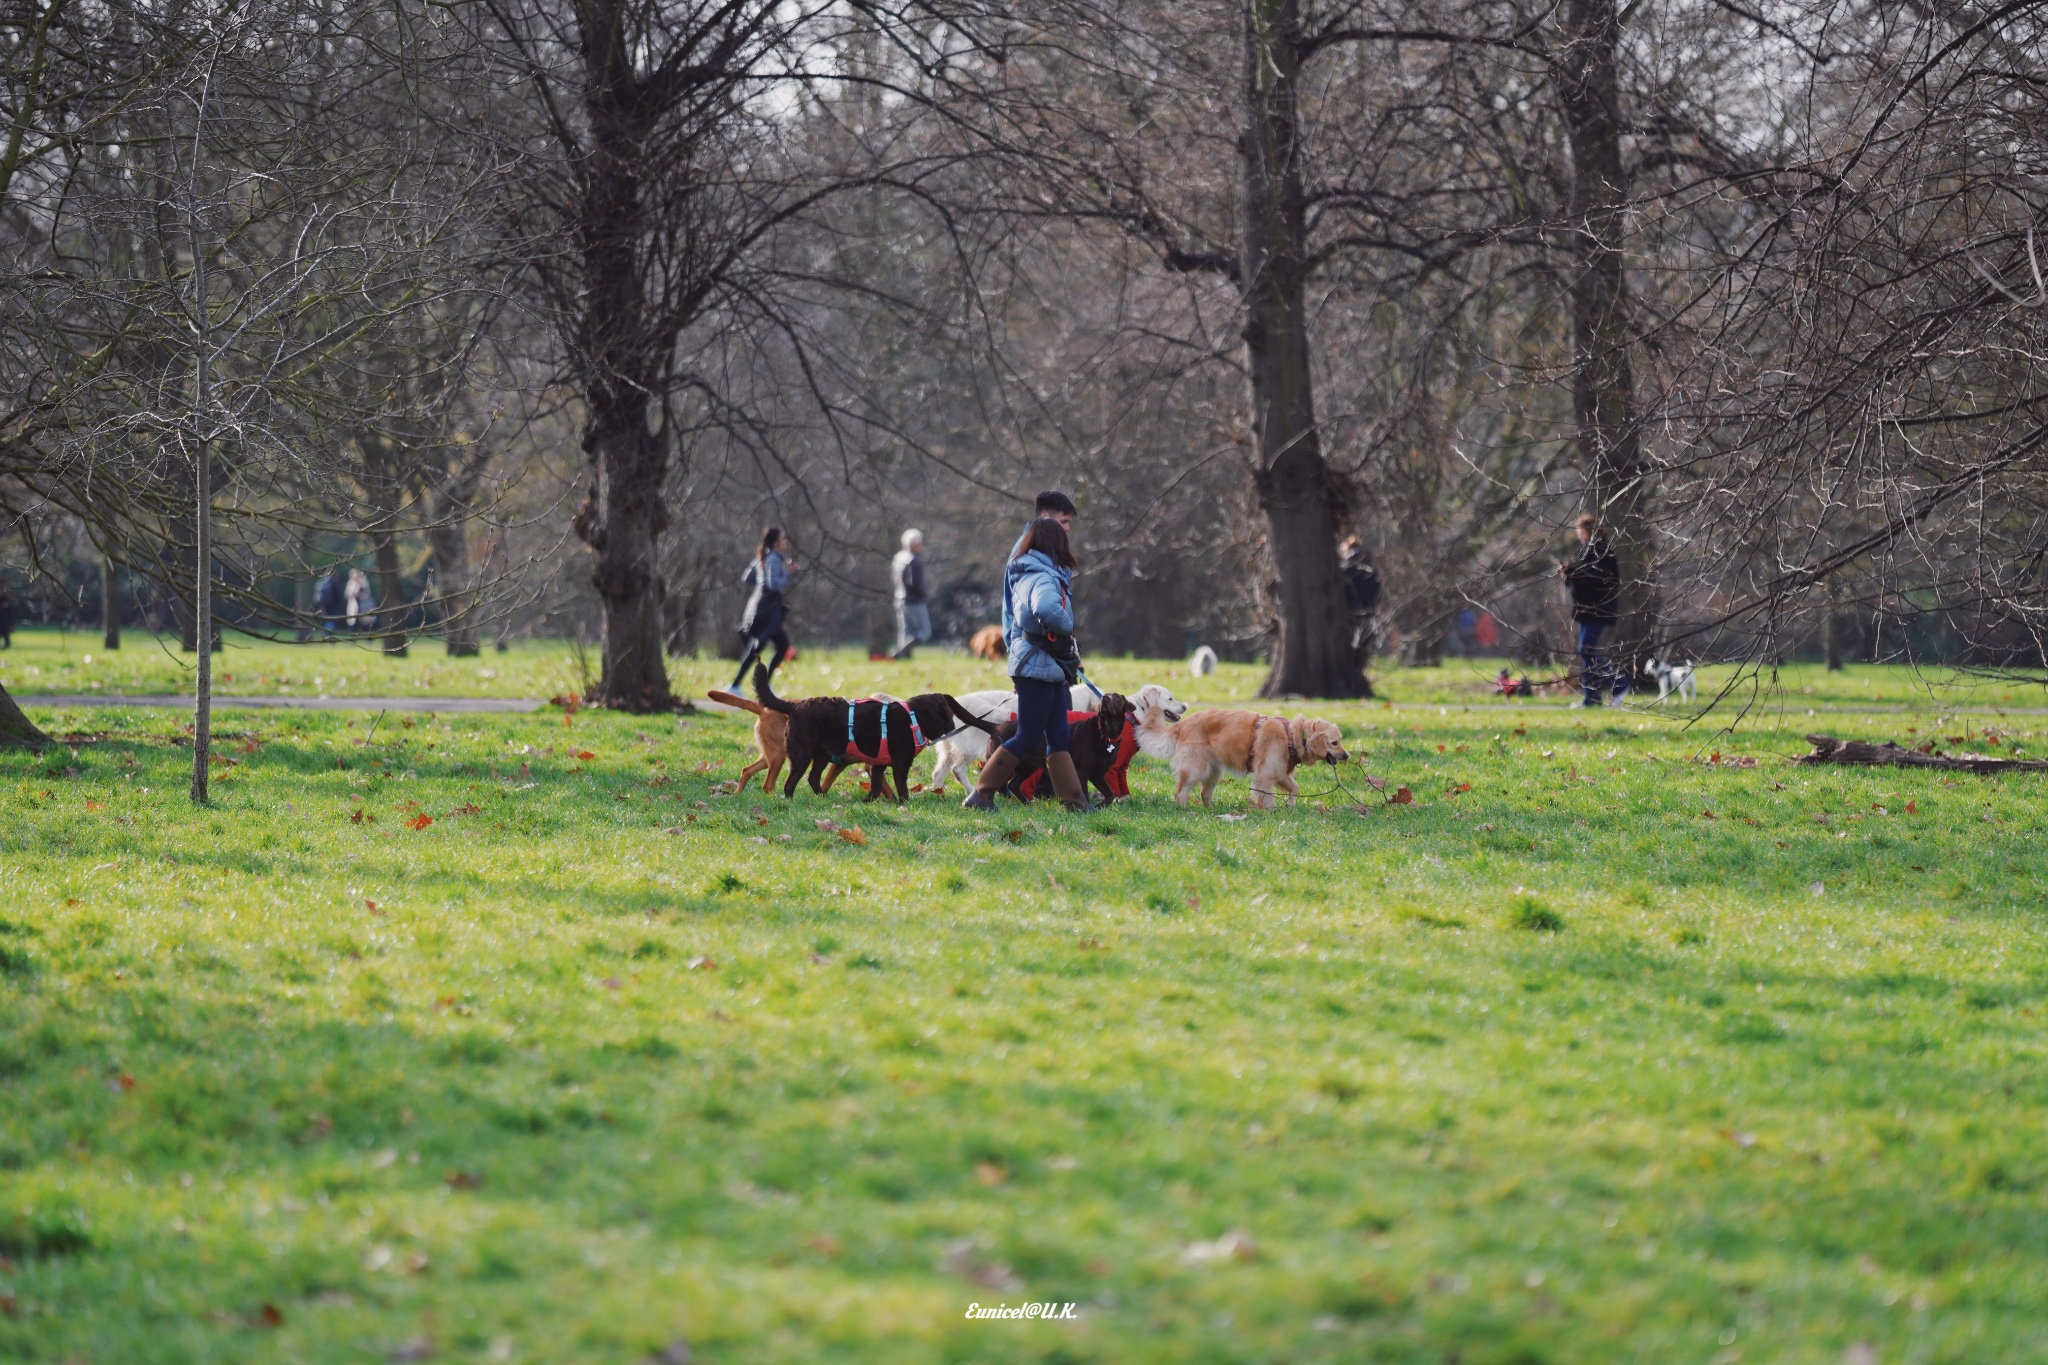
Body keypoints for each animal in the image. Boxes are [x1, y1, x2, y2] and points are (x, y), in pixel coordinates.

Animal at [757, 667, 1003, 806]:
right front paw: (904, 803)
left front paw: (868, 802)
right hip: (802, 754)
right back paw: (790, 801)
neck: (912, 716)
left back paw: (822, 798)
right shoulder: (901, 763)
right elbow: (901, 787)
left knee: (813, 778)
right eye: (947, 714)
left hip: (822, 756)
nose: (955, 724)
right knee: (790, 782)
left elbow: (875, 787)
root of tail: (795, 705)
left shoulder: (878, 765)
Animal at [925, 679, 1196, 794]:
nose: (1185, 706)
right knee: (958, 770)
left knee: (941, 772)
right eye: (1170, 698)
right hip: (973, 747)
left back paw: (939, 793)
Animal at [987, 687, 1138, 806]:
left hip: (1028, 766)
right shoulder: (1081, 772)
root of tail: (995, 727)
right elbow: (1085, 795)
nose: (1105, 698)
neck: (1105, 734)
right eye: (1105, 696)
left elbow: (1110, 795)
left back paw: (1027, 804)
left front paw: (1100, 806)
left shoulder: (1098, 774)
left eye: (1117, 697)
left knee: (1013, 784)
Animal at [1130, 703, 1351, 810]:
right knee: (1181, 789)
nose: (1347, 755)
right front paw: (1271, 810)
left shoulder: (1279, 772)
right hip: (1196, 768)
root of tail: (1184, 722)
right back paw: (1184, 808)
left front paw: (1289, 804)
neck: (1292, 735)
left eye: (1340, 740)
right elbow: (1266, 796)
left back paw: (1211, 809)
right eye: (1334, 743)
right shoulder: (1266, 774)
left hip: (1214, 772)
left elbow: (1295, 787)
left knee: (1204, 793)